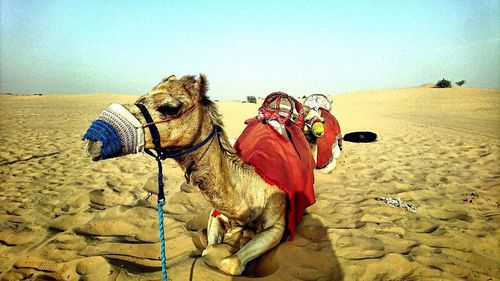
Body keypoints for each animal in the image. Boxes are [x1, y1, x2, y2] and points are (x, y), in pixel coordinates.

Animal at [83, 74, 302, 274]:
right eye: (141, 98)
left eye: (170, 107)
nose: (94, 138)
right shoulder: (217, 214)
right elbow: (208, 251)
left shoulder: (277, 225)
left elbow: (230, 263)